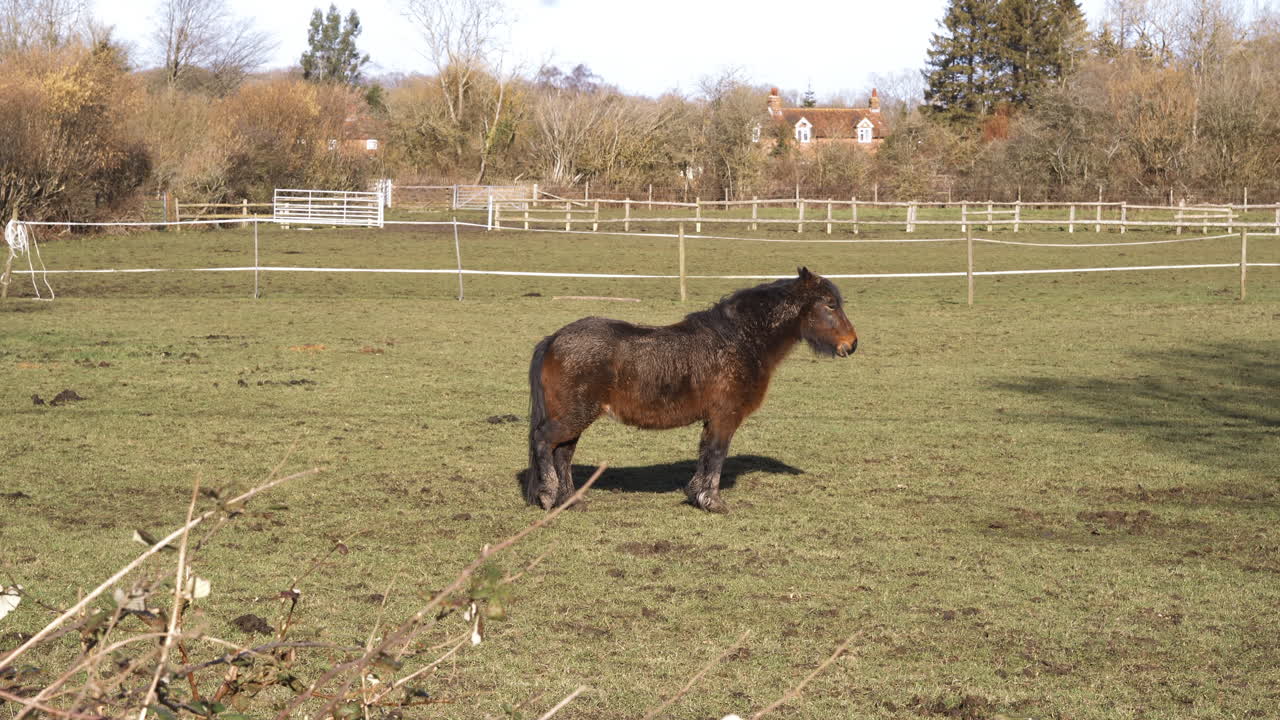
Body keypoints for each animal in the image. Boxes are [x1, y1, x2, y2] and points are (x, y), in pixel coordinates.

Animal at [524, 267, 858, 514]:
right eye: (830, 304)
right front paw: (713, 502)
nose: (852, 344)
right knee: (544, 442)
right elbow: (717, 453)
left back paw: (571, 502)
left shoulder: (713, 419)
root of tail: (554, 338)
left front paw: (698, 495)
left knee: (562, 454)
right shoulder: (725, 416)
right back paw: (548, 496)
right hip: (573, 417)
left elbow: (705, 454)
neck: (739, 340)